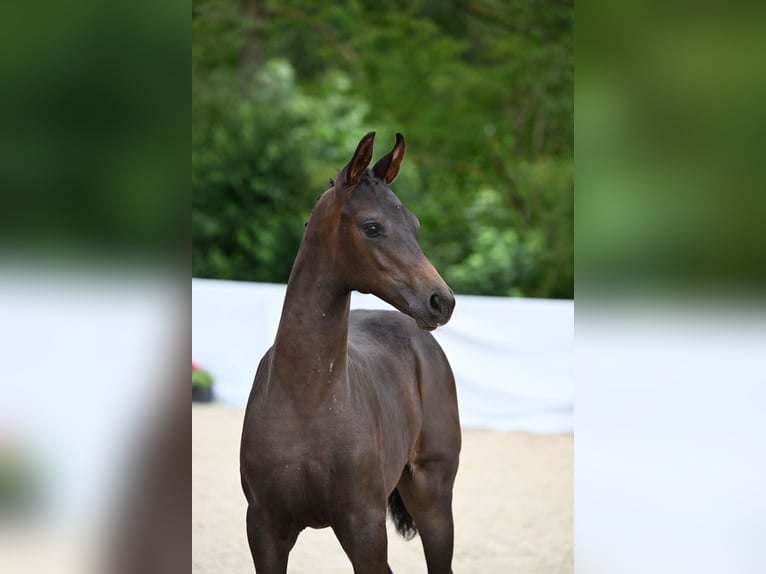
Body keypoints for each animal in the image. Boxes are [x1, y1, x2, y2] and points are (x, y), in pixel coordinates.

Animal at [242, 133, 462, 572]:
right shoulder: (264, 530)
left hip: (432, 495)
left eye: (415, 225)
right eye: (372, 227)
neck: (306, 400)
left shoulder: (365, 527)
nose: (441, 301)